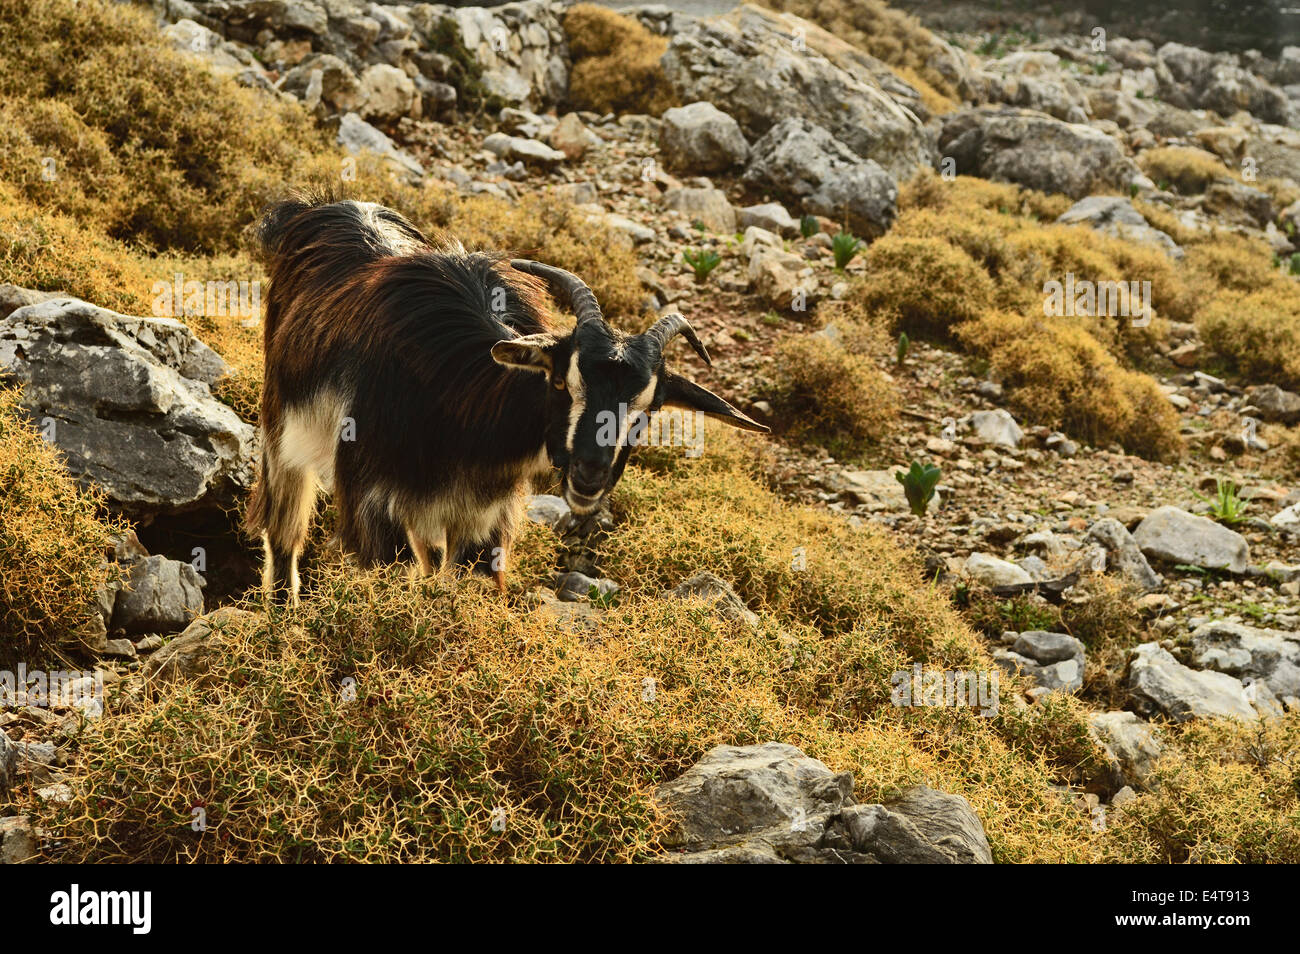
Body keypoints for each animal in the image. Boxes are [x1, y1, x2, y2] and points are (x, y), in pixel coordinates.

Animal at [248, 191, 764, 600]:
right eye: (561, 383)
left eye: (648, 409)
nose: (590, 474)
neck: (460, 411)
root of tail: (316, 209)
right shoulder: (373, 503)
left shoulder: (480, 520)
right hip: (282, 424)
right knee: (284, 529)